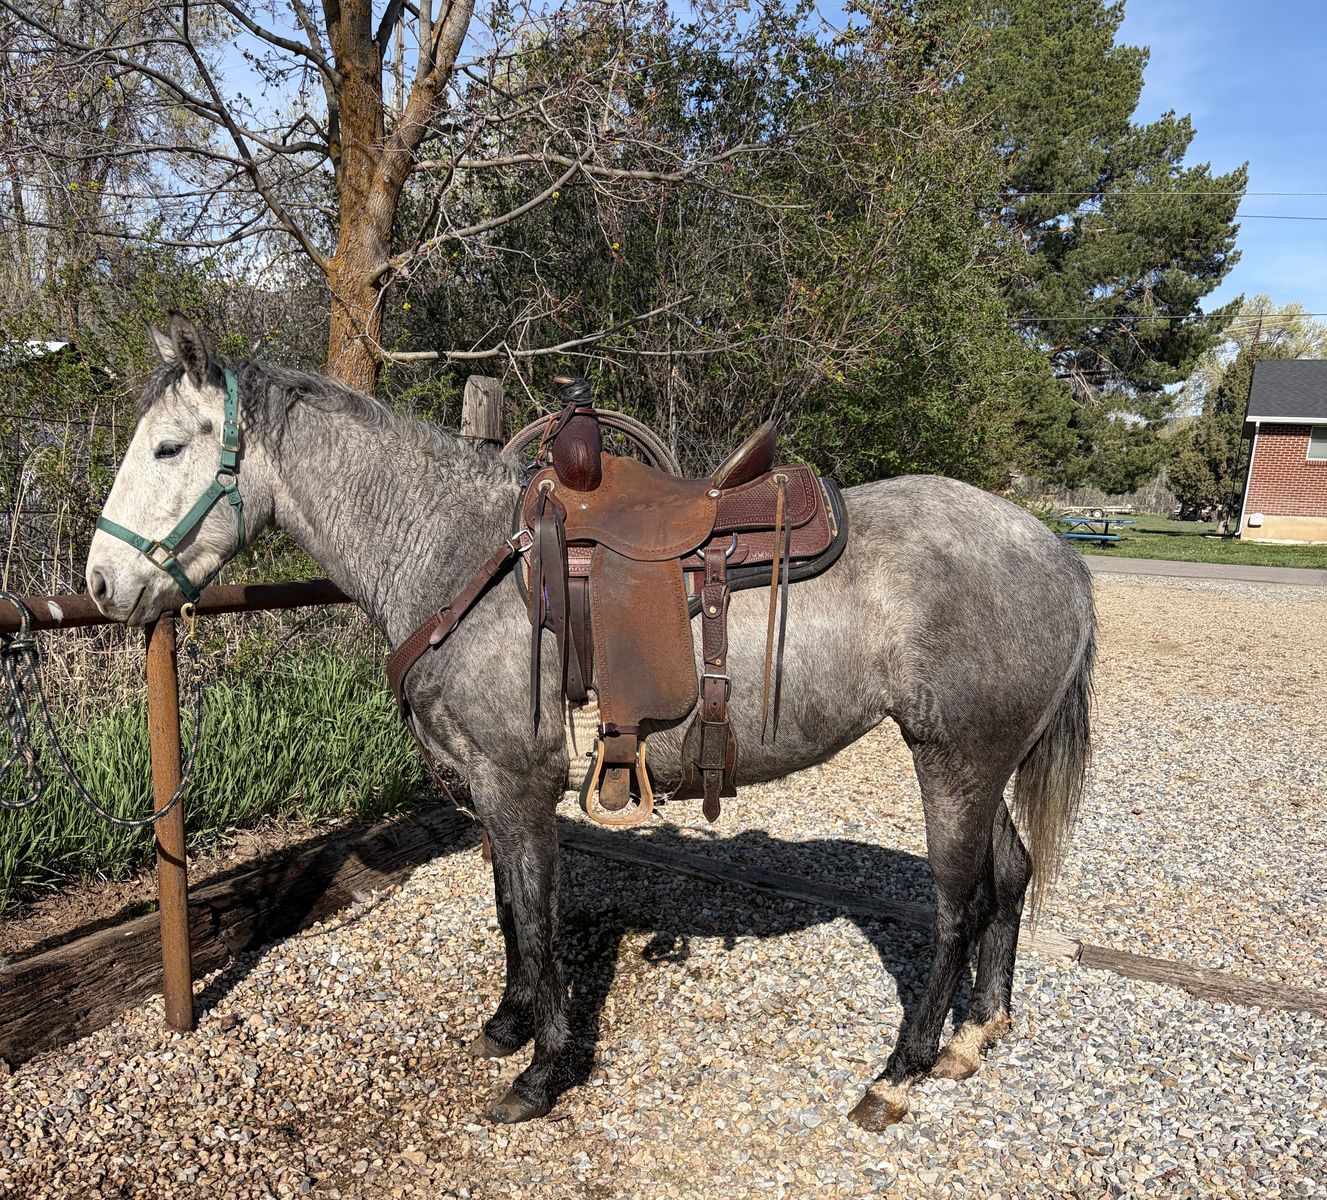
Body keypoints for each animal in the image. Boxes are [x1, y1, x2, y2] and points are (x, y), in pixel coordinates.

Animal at [86, 314, 1095, 1128]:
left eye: (168, 448)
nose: (101, 583)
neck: (463, 556)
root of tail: (1051, 548)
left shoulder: (515, 783)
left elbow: (537, 921)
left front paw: (540, 1075)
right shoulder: (492, 790)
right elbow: (508, 909)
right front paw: (508, 1025)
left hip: (953, 761)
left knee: (957, 905)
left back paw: (900, 1069)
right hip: (982, 765)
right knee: (1009, 876)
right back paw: (974, 1035)